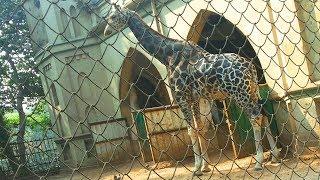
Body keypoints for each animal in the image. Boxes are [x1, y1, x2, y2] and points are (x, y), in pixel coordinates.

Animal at [105, 4, 280, 176]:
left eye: (112, 17)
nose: (106, 31)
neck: (167, 55)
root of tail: (250, 68)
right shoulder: (195, 98)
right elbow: (199, 127)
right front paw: (206, 166)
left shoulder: (181, 96)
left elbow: (190, 130)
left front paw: (196, 168)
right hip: (253, 91)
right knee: (264, 114)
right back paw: (275, 155)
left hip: (239, 93)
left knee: (255, 117)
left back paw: (258, 162)